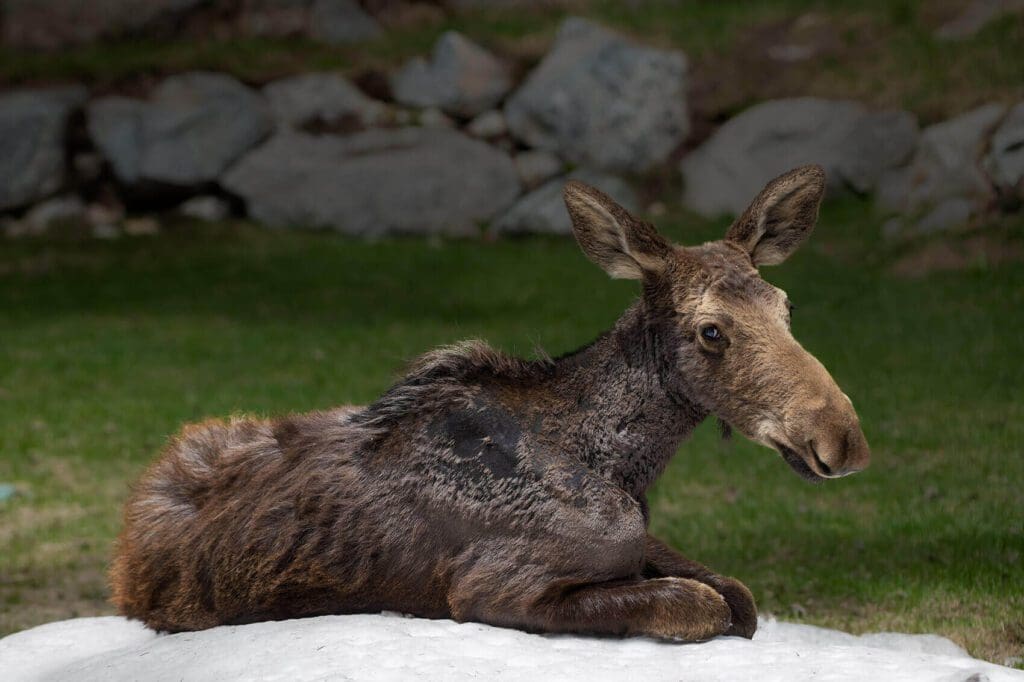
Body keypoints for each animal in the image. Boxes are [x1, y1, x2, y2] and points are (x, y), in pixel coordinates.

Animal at [112, 164, 868, 638]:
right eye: (712, 330)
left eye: (786, 306)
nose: (843, 437)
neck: (628, 465)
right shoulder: (490, 587)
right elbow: (704, 605)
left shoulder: (644, 539)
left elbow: (737, 593)